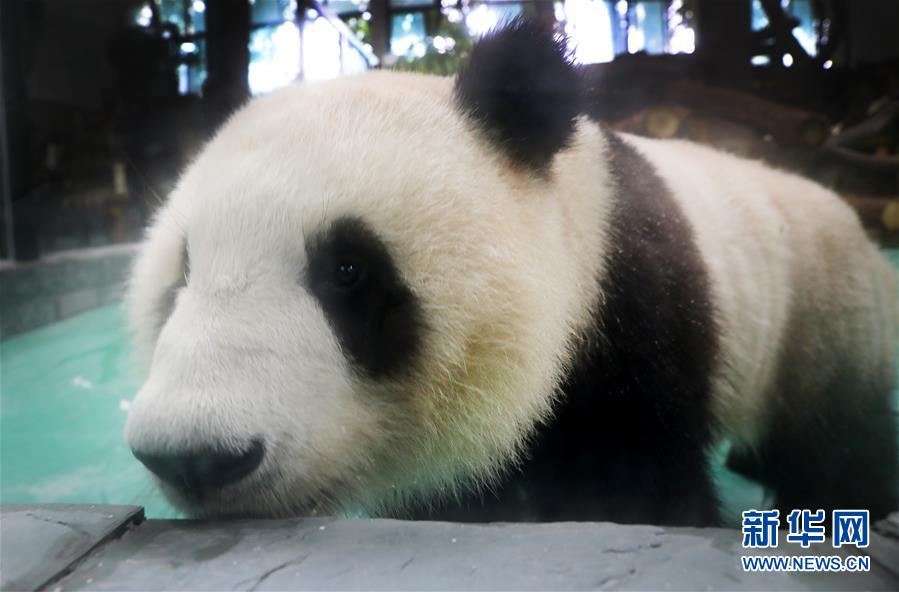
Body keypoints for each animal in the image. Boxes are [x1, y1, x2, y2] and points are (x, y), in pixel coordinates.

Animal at [124, 19, 898, 526]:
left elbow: (640, 492)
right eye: (182, 273)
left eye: (346, 271)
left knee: (837, 441)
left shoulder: (634, 325)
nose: (195, 458)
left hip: (822, 317)